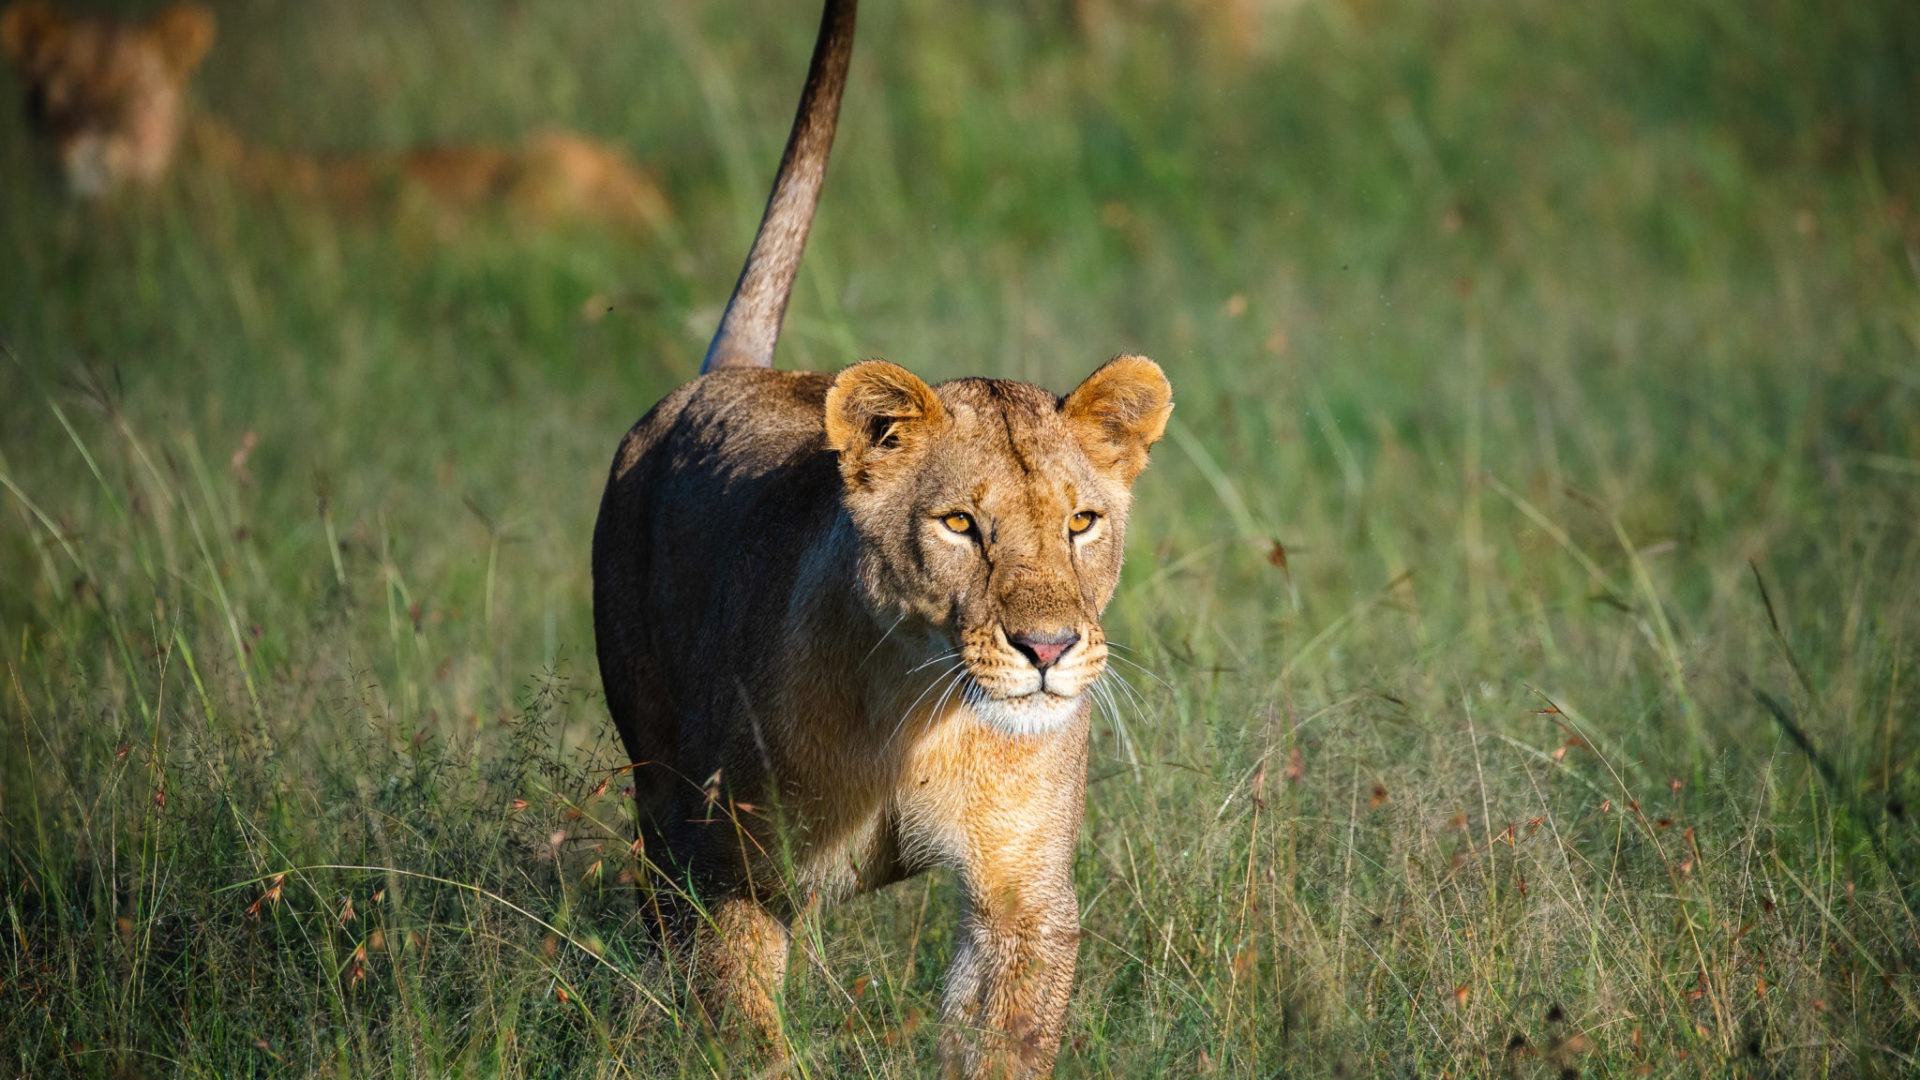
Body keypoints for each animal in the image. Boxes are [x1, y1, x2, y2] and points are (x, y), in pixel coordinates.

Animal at [591, 1, 1171, 1075]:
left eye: (1081, 522)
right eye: (959, 524)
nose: (1048, 651)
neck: (919, 708)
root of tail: (722, 376)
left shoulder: (1023, 900)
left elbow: (1002, 1038)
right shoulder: (735, 877)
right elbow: (744, 1029)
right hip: (656, 779)